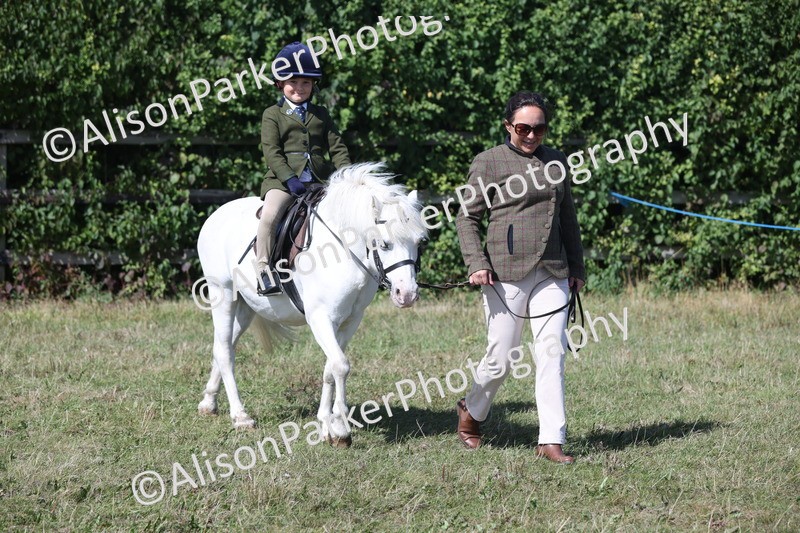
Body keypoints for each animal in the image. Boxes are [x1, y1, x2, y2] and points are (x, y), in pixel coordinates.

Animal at [195, 162, 428, 446]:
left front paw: (328, 422)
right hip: (223, 295)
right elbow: (340, 365)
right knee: (225, 353)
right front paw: (341, 430)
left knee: (223, 346)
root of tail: (216, 215)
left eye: (420, 242)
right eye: (384, 244)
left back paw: (208, 403)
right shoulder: (320, 318)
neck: (344, 252)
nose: (407, 295)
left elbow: (330, 367)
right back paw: (240, 417)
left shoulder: (350, 321)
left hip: (246, 308)